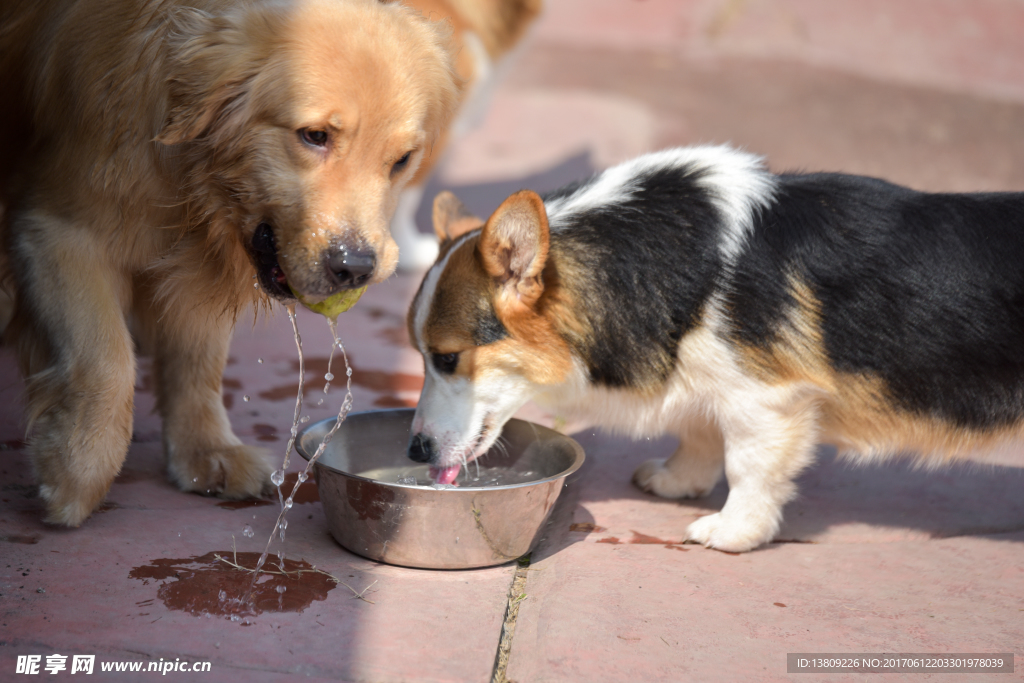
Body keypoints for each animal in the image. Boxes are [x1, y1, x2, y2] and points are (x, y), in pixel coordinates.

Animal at [0, 0, 458, 528]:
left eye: (402, 159)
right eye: (314, 136)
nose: (356, 267)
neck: (189, 179)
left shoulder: (205, 264)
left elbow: (198, 355)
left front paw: (205, 451)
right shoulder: (56, 229)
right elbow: (105, 356)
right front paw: (77, 467)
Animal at [403, 147, 1024, 552]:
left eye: (448, 358)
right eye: (421, 355)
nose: (413, 450)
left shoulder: (766, 400)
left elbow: (747, 465)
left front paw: (732, 532)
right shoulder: (707, 378)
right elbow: (698, 429)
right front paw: (677, 480)